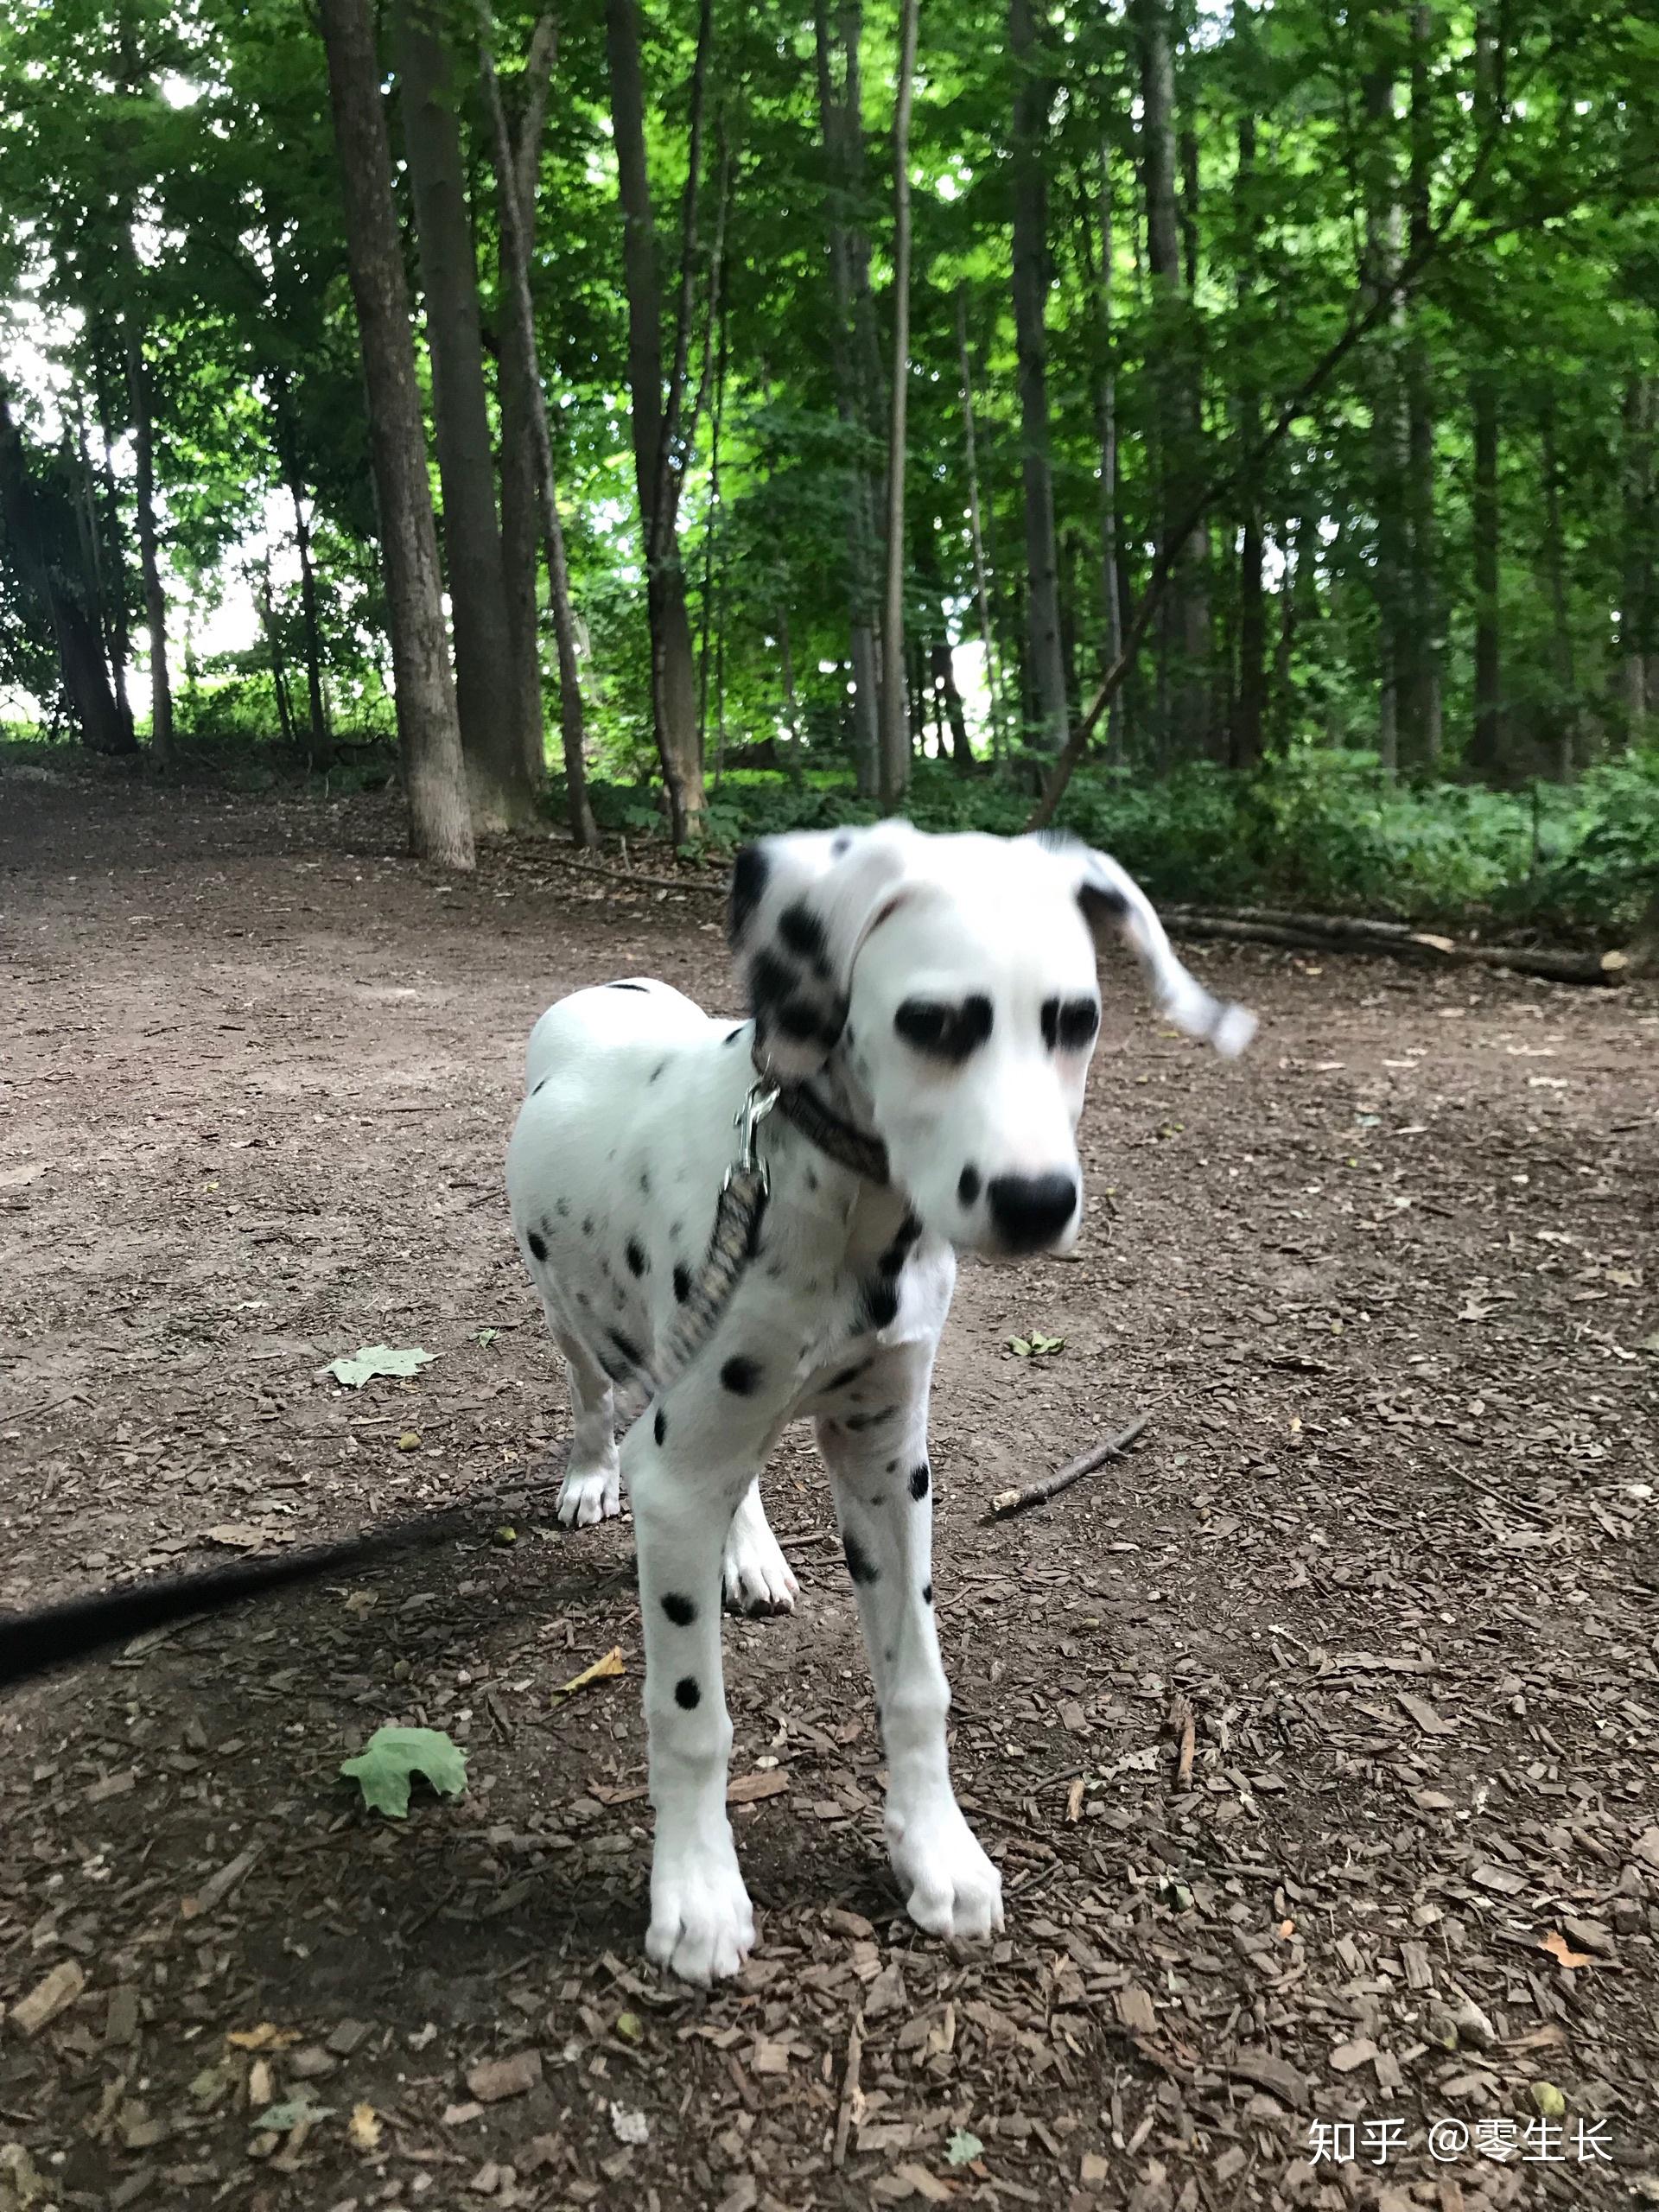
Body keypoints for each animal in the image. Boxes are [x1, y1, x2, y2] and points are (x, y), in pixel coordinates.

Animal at [499, 823, 1256, 1981]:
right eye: (933, 1022)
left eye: (1076, 1019)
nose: (1037, 1202)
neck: (844, 1202)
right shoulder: (678, 1480)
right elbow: (690, 1714)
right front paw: (698, 1892)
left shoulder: (888, 1459)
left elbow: (917, 1682)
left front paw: (936, 1850)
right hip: (575, 1320)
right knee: (593, 1398)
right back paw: (590, 1475)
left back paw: (750, 1554)